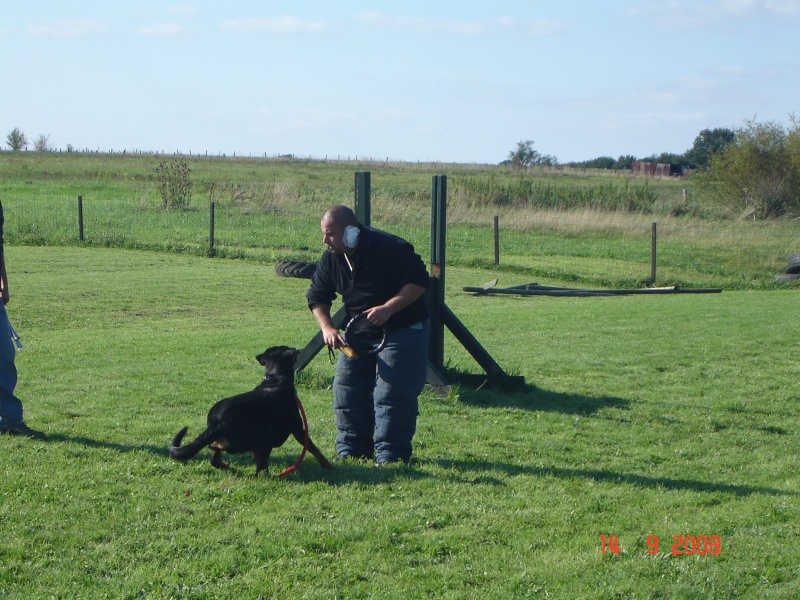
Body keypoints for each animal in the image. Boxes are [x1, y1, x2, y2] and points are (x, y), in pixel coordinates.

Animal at [167, 346, 332, 474]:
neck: (276, 379)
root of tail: (217, 422)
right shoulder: (297, 428)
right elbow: (313, 448)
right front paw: (328, 466)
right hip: (264, 435)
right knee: (256, 466)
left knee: (215, 458)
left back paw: (226, 465)